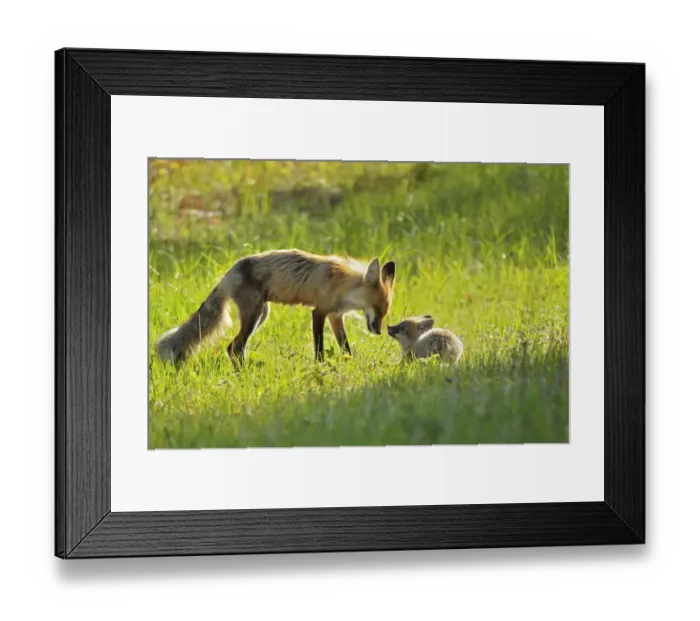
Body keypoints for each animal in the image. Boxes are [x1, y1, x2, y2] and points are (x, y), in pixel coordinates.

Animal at [155, 249, 396, 365]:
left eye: (385, 312)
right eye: (377, 309)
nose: (378, 331)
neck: (343, 285)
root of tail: (229, 273)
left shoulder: (335, 316)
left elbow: (345, 346)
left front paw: (350, 362)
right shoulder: (319, 311)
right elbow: (319, 347)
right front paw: (320, 365)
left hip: (262, 314)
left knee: (234, 347)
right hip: (254, 315)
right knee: (234, 347)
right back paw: (245, 373)